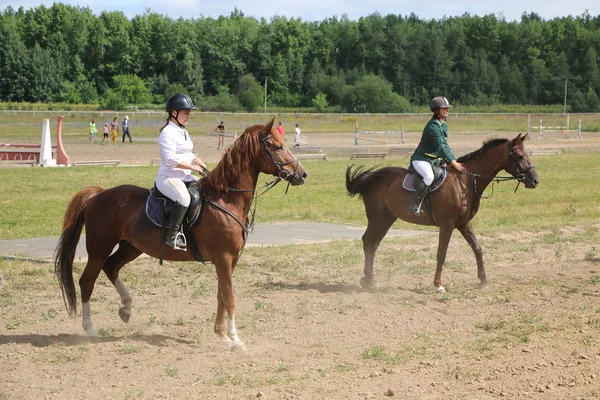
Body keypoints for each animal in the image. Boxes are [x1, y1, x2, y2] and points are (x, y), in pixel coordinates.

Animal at [54, 119, 308, 350]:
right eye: (277, 147)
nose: (303, 174)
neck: (226, 199)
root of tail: (98, 195)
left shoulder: (230, 260)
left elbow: (221, 295)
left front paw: (221, 334)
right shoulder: (224, 258)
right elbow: (229, 298)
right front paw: (235, 339)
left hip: (131, 247)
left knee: (112, 267)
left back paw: (126, 308)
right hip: (99, 248)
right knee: (87, 281)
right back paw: (90, 328)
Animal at [346, 133, 540, 292]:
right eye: (520, 156)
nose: (535, 181)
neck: (466, 181)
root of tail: (371, 177)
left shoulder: (464, 224)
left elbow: (477, 248)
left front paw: (483, 280)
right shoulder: (447, 225)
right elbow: (441, 254)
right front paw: (438, 284)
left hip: (387, 218)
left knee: (373, 243)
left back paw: (368, 279)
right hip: (377, 217)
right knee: (369, 241)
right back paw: (367, 279)